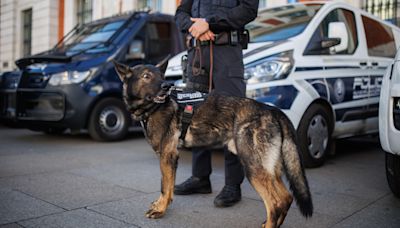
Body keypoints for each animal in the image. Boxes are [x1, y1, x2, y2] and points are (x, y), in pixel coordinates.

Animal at [114, 61, 314, 228]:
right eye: (146, 76)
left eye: (161, 76)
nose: (167, 85)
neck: (153, 108)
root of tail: (272, 110)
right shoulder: (168, 158)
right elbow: (168, 187)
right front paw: (160, 205)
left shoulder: (167, 156)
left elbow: (165, 186)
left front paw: (160, 210)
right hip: (269, 170)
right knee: (286, 198)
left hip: (253, 168)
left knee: (275, 202)